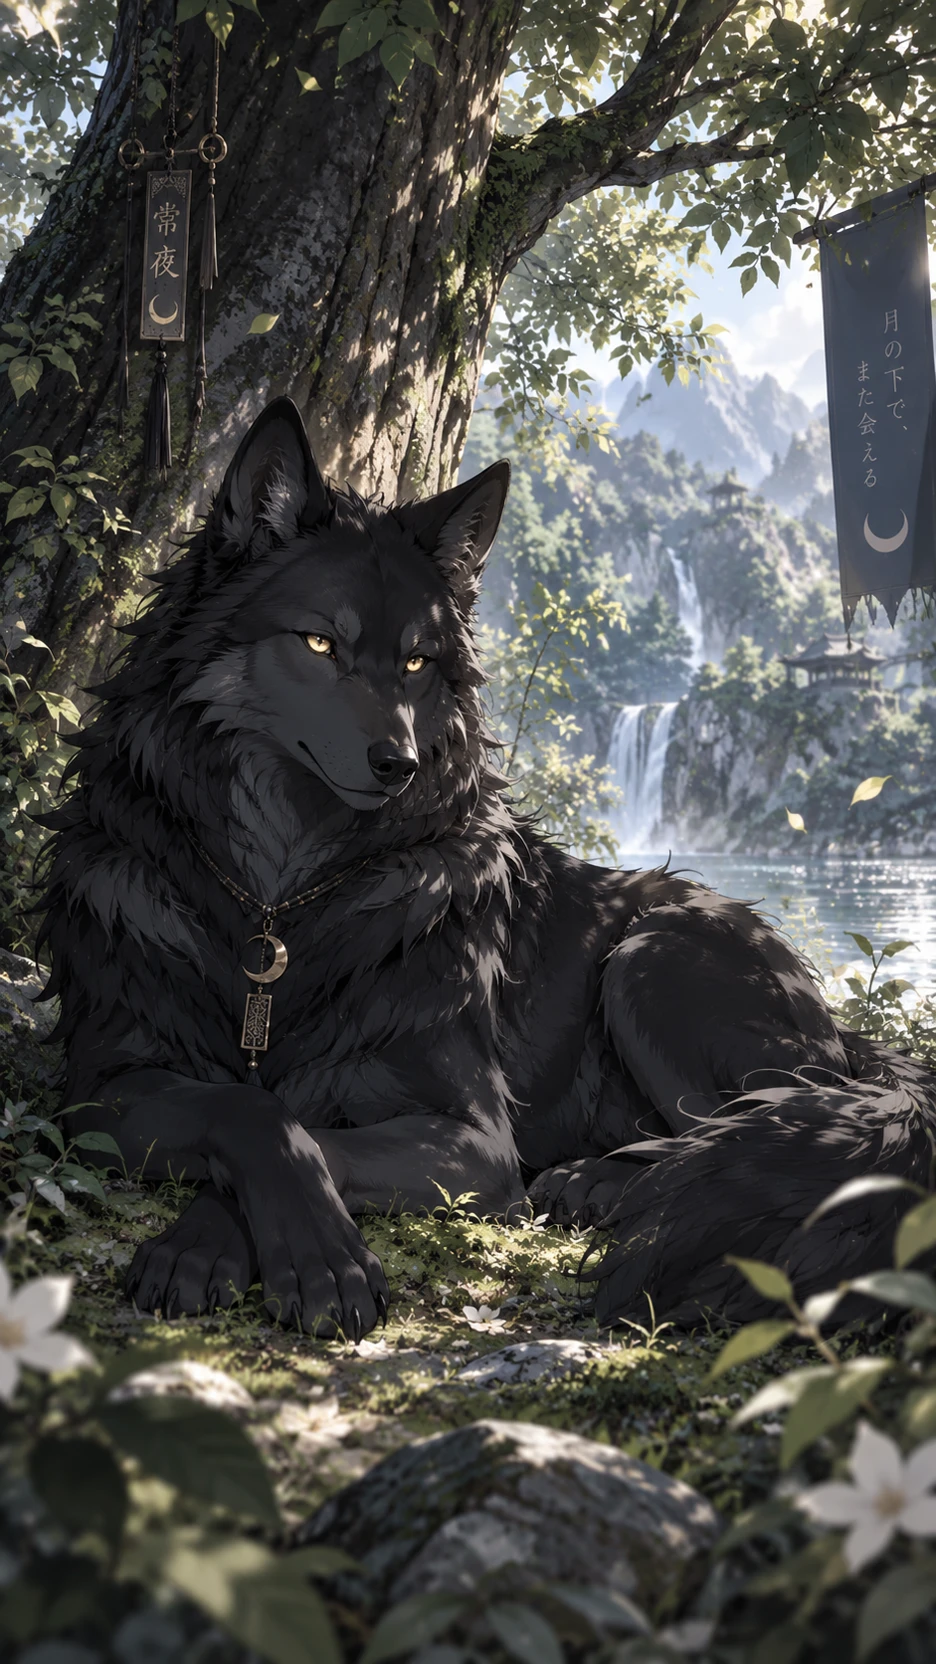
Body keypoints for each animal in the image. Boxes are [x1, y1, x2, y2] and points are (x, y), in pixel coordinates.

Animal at [37, 399, 936, 1340]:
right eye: (318, 643)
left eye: (417, 660)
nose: (398, 764)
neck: (279, 903)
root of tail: (837, 1028)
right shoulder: (102, 1089)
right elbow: (248, 1107)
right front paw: (214, 1249)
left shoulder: (473, 1141)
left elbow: (302, 1127)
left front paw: (300, 1257)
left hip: (651, 960)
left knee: (763, 1118)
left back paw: (604, 1183)